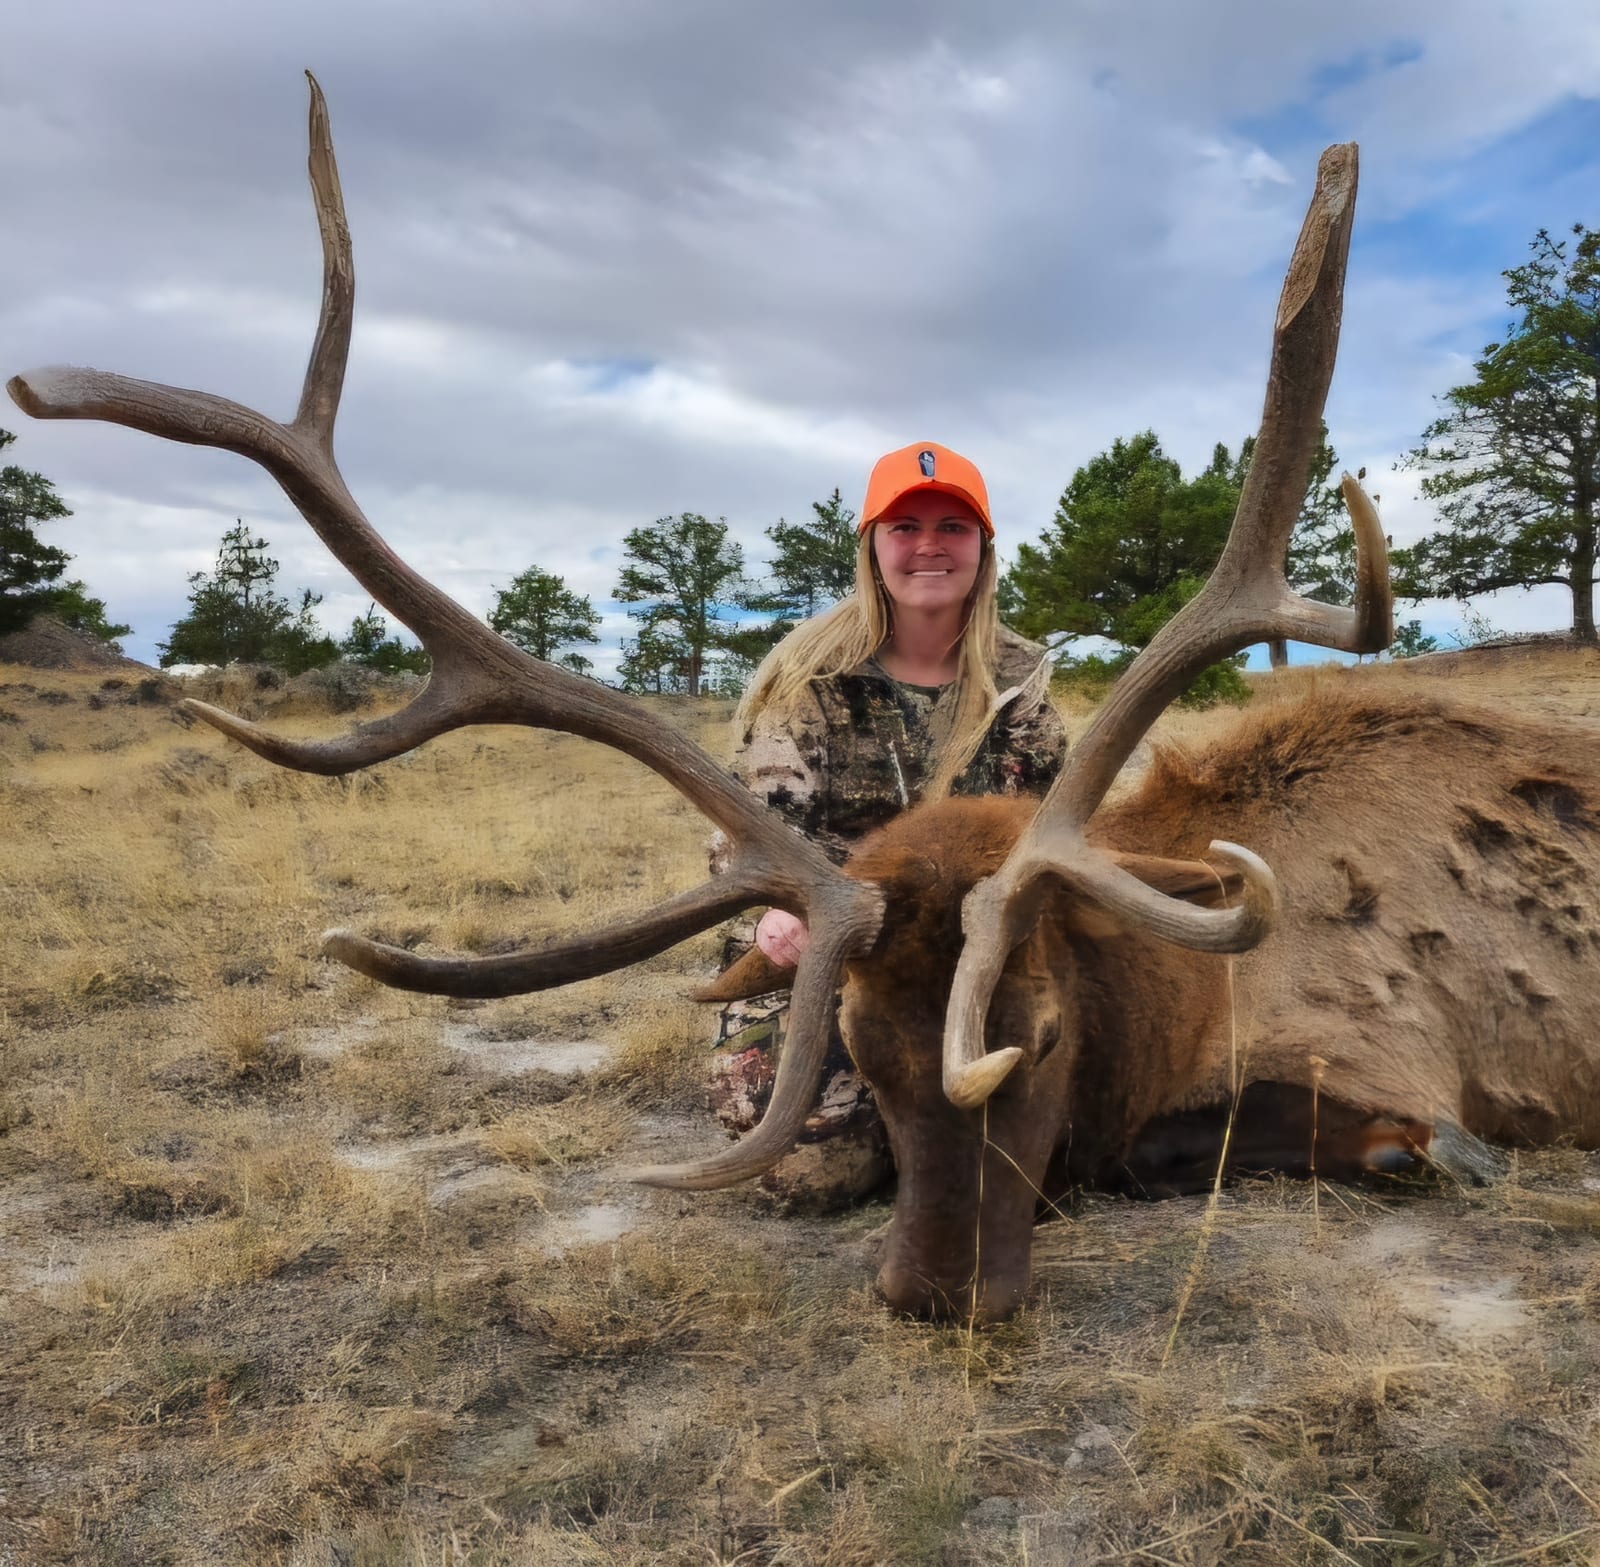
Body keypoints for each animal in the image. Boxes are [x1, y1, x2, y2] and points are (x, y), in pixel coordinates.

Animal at [13, 78, 1600, 1322]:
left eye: (1044, 1033)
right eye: (859, 1054)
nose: (934, 1293)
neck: (1170, 983)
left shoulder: (1393, 1054)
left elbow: (1207, 1142)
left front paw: (1418, 1156)